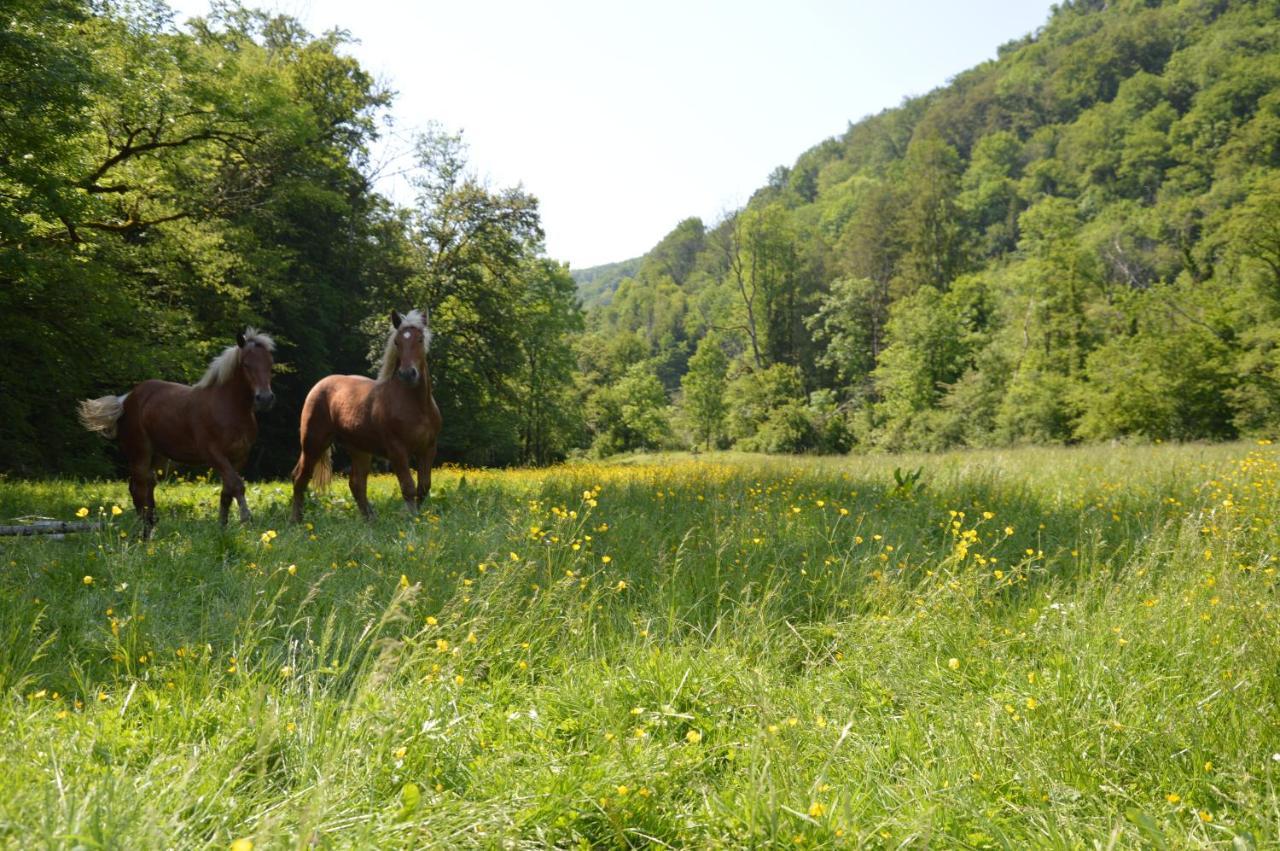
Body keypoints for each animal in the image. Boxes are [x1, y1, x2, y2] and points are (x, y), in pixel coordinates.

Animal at [78, 330, 276, 534]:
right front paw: (246, 520)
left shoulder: (239, 456)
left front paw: (222, 528)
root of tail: (126, 399)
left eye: (270, 364)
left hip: (157, 457)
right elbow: (236, 485)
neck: (228, 408)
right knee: (138, 486)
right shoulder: (214, 453)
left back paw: (150, 525)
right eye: (246, 364)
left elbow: (227, 491)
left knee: (147, 485)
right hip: (140, 453)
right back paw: (144, 527)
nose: (265, 398)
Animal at [293, 305, 442, 516]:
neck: (416, 406)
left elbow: (424, 487)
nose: (407, 374)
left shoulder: (428, 449)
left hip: (359, 449)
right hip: (313, 443)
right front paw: (412, 518)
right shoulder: (397, 450)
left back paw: (370, 518)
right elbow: (408, 487)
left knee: (356, 484)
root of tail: (318, 386)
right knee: (300, 478)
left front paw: (419, 516)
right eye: (397, 342)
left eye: (420, 340)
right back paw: (295, 520)